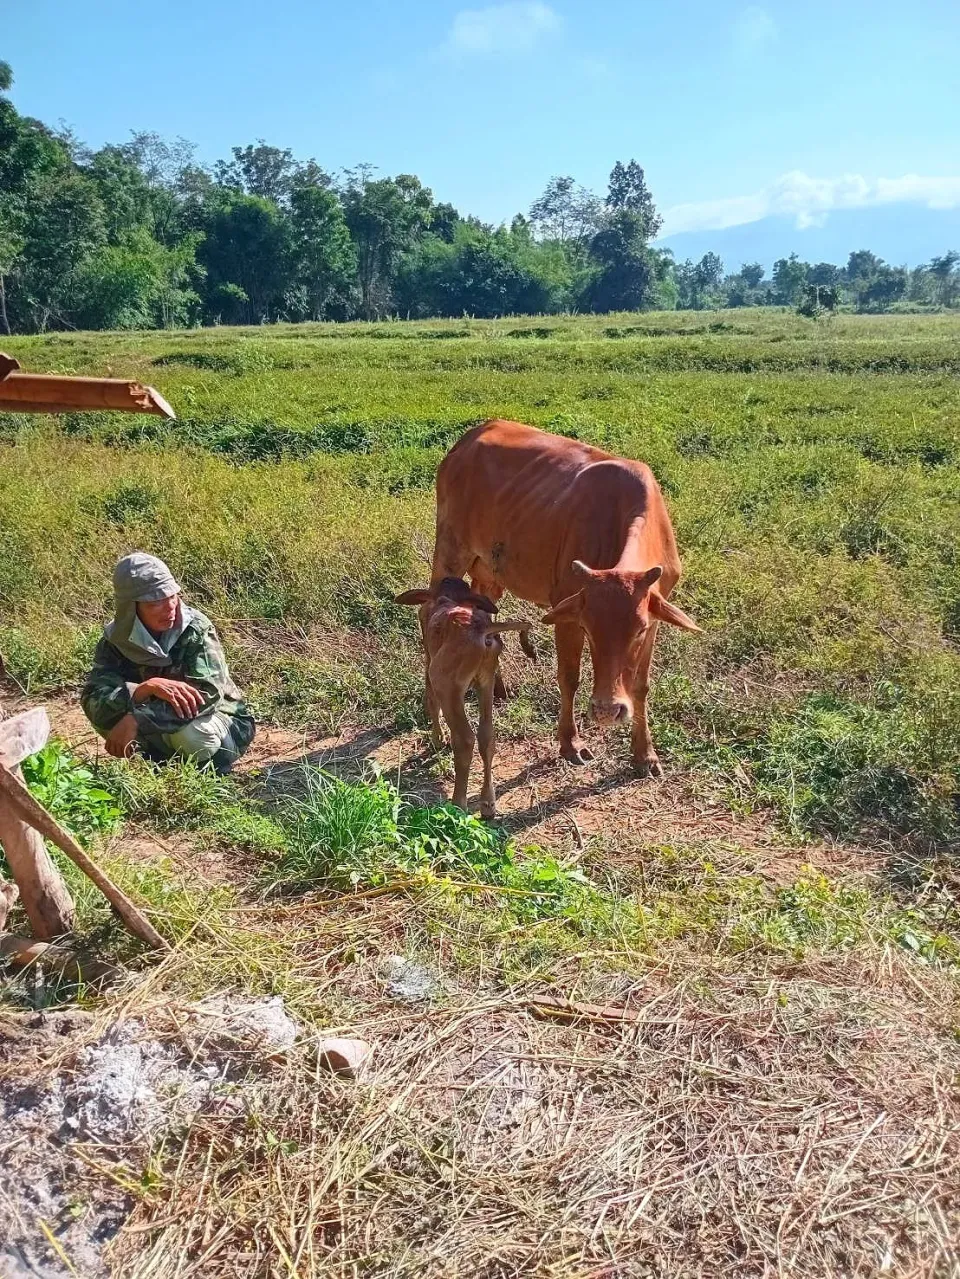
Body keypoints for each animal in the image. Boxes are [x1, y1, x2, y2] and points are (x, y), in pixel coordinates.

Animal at [393, 575, 536, 813]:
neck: (449, 597)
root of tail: (482, 631)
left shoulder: (429, 660)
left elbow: (431, 701)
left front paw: (437, 739)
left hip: (446, 682)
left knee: (465, 739)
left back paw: (458, 803)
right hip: (486, 680)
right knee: (487, 736)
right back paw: (488, 803)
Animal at [429, 424, 700, 772]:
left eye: (638, 630)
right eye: (588, 630)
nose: (606, 711)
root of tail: (468, 438)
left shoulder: (655, 619)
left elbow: (641, 686)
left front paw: (645, 754)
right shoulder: (568, 615)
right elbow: (569, 678)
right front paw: (571, 743)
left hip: (489, 569)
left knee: (483, 613)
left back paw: (498, 687)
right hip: (450, 551)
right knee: (428, 611)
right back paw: (438, 728)